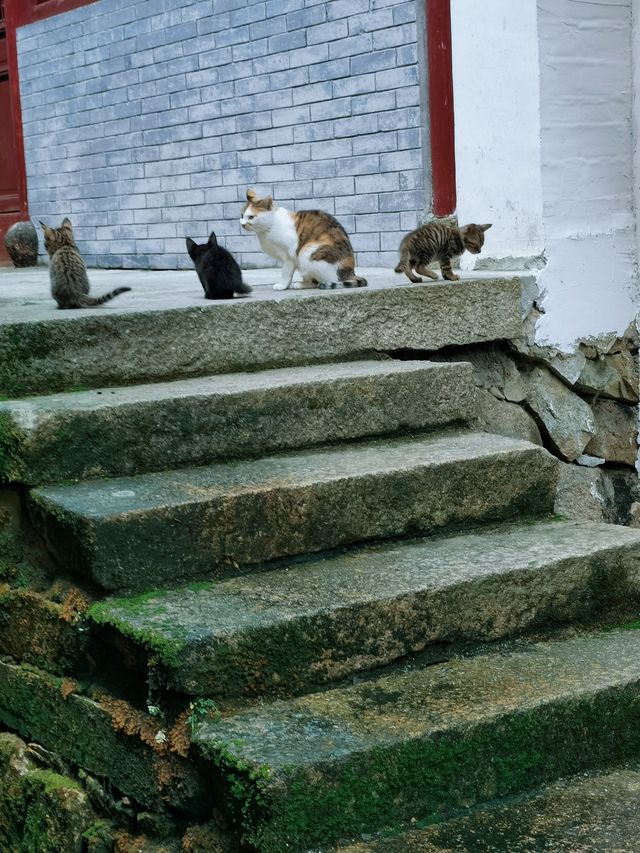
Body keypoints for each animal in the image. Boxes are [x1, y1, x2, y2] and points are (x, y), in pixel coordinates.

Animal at [239, 188, 368, 292]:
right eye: (241, 215)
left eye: (251, 217)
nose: (243, 224)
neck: (268, 227)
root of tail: (350, 273)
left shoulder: (290, 256)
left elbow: (285, 272)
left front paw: (282, 285)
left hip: (306, 252)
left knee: (323, 281)